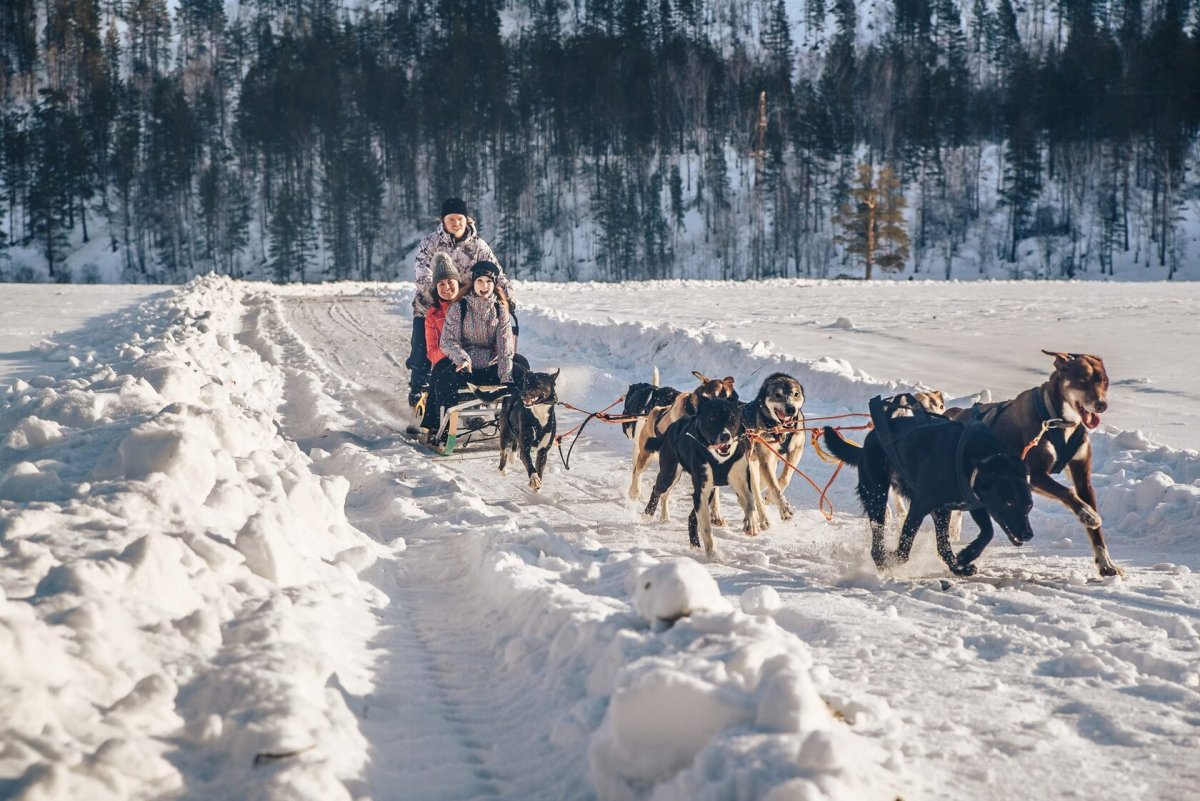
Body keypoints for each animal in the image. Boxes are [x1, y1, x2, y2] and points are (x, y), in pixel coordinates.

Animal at [820, 398, 1036, 575]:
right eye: (1009, 504)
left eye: (1029, 506)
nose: (1028, 534)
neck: (979, 459)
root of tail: (868, 442)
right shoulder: (920, 505)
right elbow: (905, 545)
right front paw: (895, 560)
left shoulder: (973, 503)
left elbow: (987, 533)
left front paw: (966, 555)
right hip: (876, 495)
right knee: (878, 539)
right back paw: (882, 561)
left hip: (940, 512)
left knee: (943, 546)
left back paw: (957, 568)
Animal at [940, 350, 1118, 575]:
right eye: (1083, 381)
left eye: (1104, 381)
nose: (1101, 404)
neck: (1057, 421)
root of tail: (960, 413)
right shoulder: (1034, 475)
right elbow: (1067, 492)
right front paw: (1087, 513)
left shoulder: (1082, 476)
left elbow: (1092, 524)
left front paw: (1105, 563)